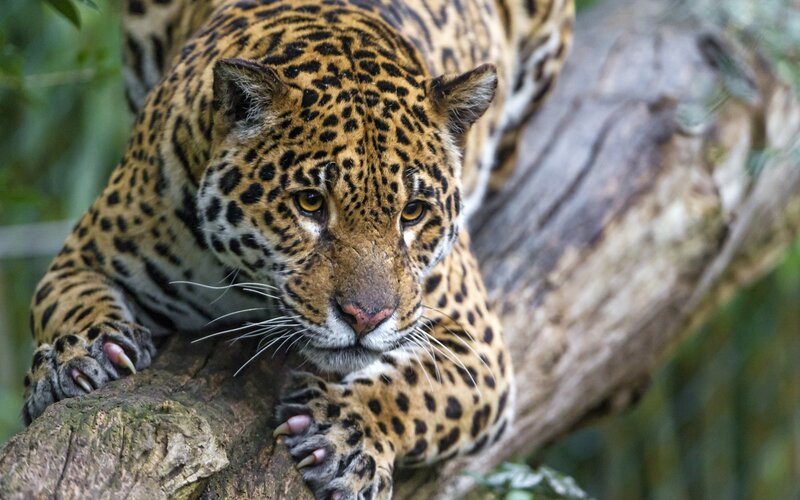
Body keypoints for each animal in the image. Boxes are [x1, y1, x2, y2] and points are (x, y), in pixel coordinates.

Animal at [23, 0, 574, 498]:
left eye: (413, 212)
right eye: (310, 203)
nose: (365, 317)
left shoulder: (479, 344)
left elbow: (422, 392)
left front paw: (347, 432)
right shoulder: (83, 255)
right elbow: (65, 302)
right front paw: (77, 356)